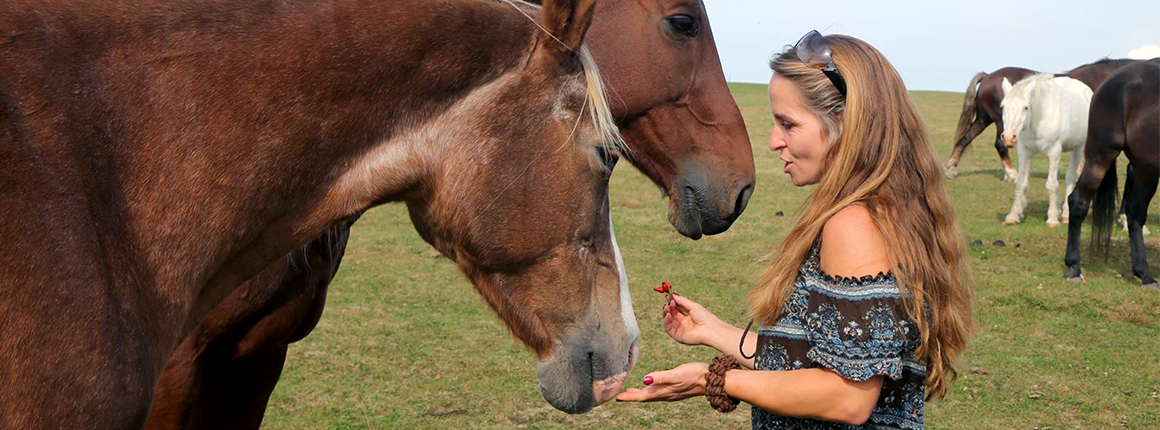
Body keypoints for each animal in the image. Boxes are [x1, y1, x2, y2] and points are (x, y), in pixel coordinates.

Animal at [1002, 74, 1090, 227]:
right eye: (1003, 106)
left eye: (1025, 107)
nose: (1008, 137)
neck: (1038, 118)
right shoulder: (1024, 152)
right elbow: (1021, 183)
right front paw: (1013, 216)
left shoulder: (1054, 151)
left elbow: (1052, 185)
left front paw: (1052, 218)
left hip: (1078, 148)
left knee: (1070, 178)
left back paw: (1066, 214)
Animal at [1062, 58, 1155, 289]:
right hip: (1101, 154)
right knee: (1078, 201)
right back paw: (1074, 267)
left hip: (1146, 168)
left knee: (1135, 215)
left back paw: (1144, 274)